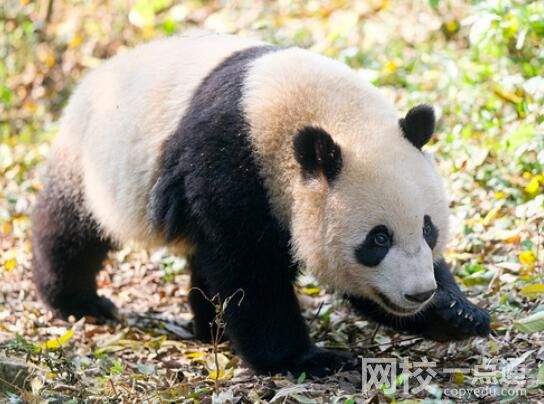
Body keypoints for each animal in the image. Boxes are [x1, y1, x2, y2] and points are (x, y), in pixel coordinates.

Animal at [31, 33, 490, 378]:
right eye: (378, 239)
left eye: (428, 229)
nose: (419, 293)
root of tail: (93, 76)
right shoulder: (232, 163)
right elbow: (249, 271)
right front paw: (307, 359)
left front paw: (457, 313)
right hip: (93, 162)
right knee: (71, 229)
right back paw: (77, 301)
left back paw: (208, 329)